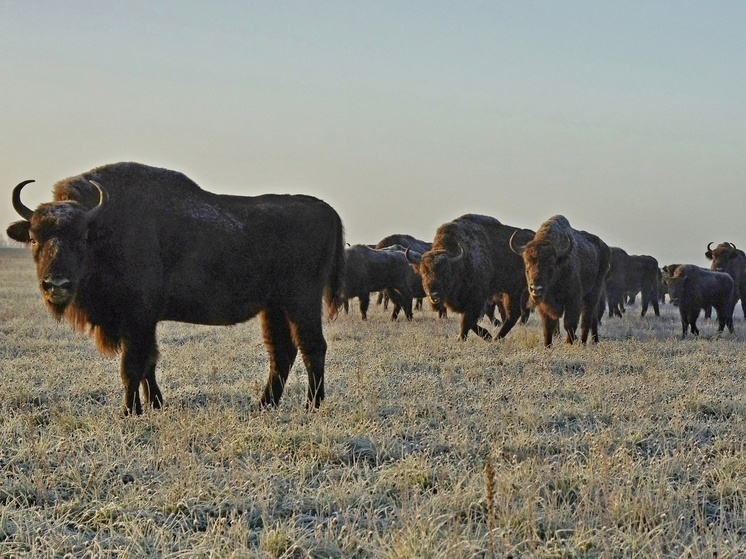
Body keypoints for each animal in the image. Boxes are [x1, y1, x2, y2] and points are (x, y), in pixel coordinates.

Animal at [6, 162, 346, 416]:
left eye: (82, 238)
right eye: (34, 238)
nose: (56, 284)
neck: (106, 228)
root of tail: (325, 210)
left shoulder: (138, 319)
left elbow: (132, 366)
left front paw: (129, 412)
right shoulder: (142, 324)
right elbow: (148, 364)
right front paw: (155, 405)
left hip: (301, 302)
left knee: (313, 347)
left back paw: (311, 407)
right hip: (274, 307)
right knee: (282, 352)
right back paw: (264, 405)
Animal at [402, 214, 528, 342]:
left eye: (446, 272)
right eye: (423, 272)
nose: (433, 295)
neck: (459, 262)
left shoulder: (476, 300)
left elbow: (466, 321)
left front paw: (462, 339)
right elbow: (469, 322)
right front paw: (486, 335)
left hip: (514, 291)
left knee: (512, 315)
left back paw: (497, 338)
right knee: (512, 315)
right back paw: (497, 338)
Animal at [508, 214, 608, 346]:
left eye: (551, 264)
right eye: (527, 263)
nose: (536, 289)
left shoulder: (573, 300)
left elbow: (569, 324)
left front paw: (569, 342)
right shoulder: (544, 306)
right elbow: (547, 327)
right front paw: (547, 346)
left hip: (593, 294)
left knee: (587, 320)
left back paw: (583, 342)